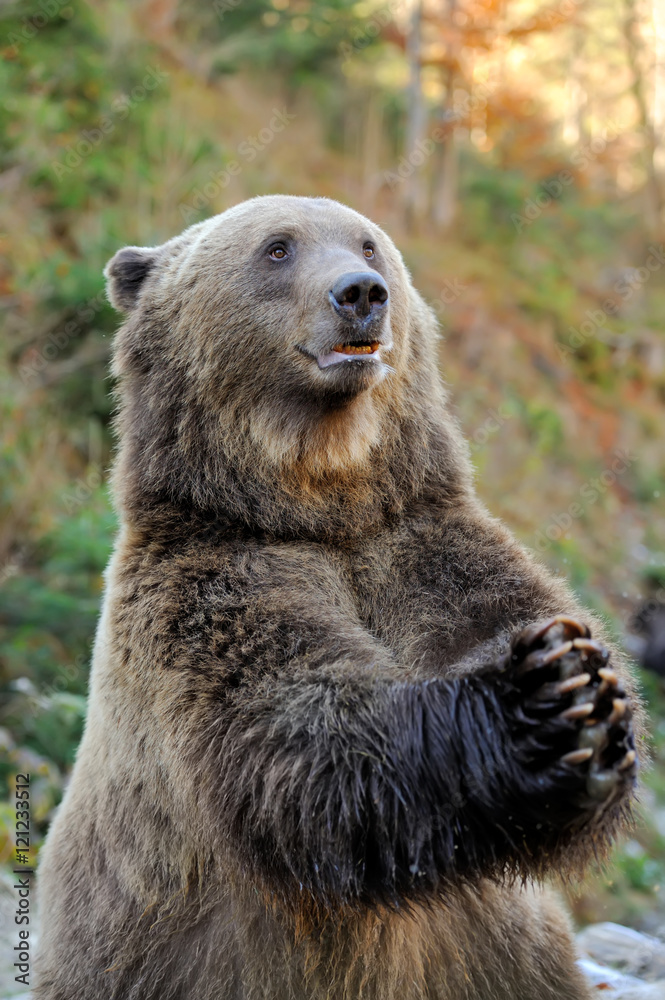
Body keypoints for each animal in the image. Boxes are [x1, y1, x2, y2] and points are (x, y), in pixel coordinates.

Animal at [35, 195, 640, 1000]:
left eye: (368, 243)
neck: (321, 498)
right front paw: (538, 699)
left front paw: (587, 688)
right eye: (277, 247)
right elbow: (306, 736)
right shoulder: (211, 589)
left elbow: (506, 612)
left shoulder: (420, 546)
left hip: (509, 958)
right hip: (139, 959)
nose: (359, 293)